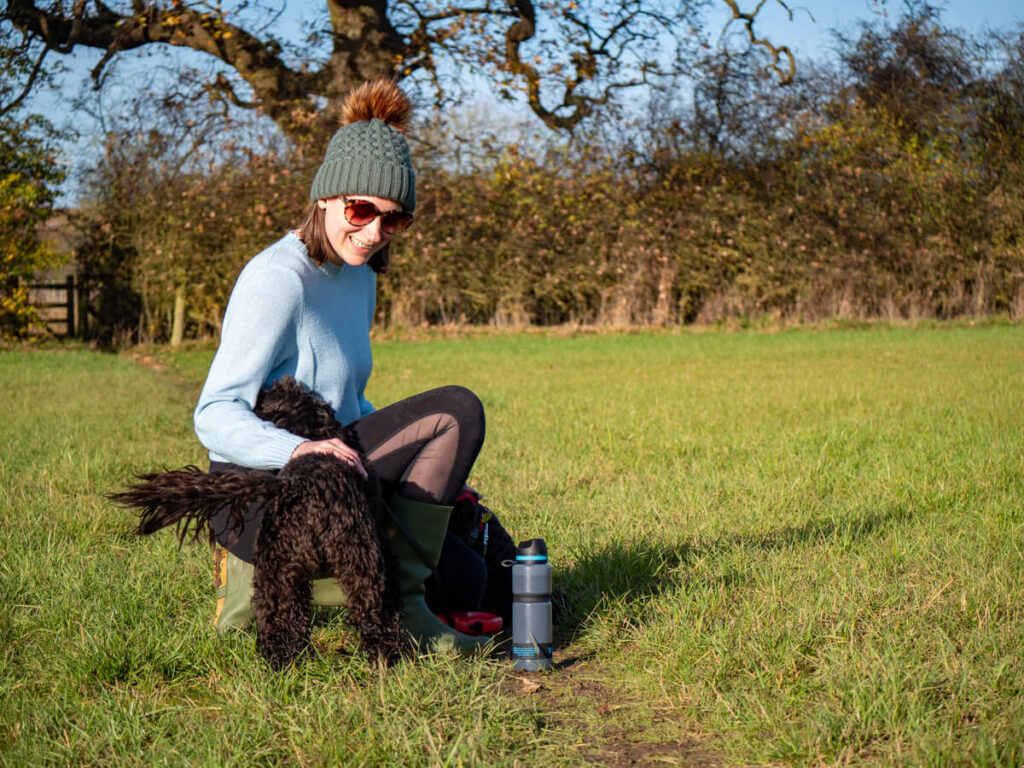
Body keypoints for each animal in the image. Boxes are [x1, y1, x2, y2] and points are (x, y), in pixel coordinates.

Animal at [113, 378, 411, 667]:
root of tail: (302, 487)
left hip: (275, 571)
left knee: (276, 620)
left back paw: (280, 662)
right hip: (361, 565)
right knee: (373, 617)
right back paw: (388, 657)